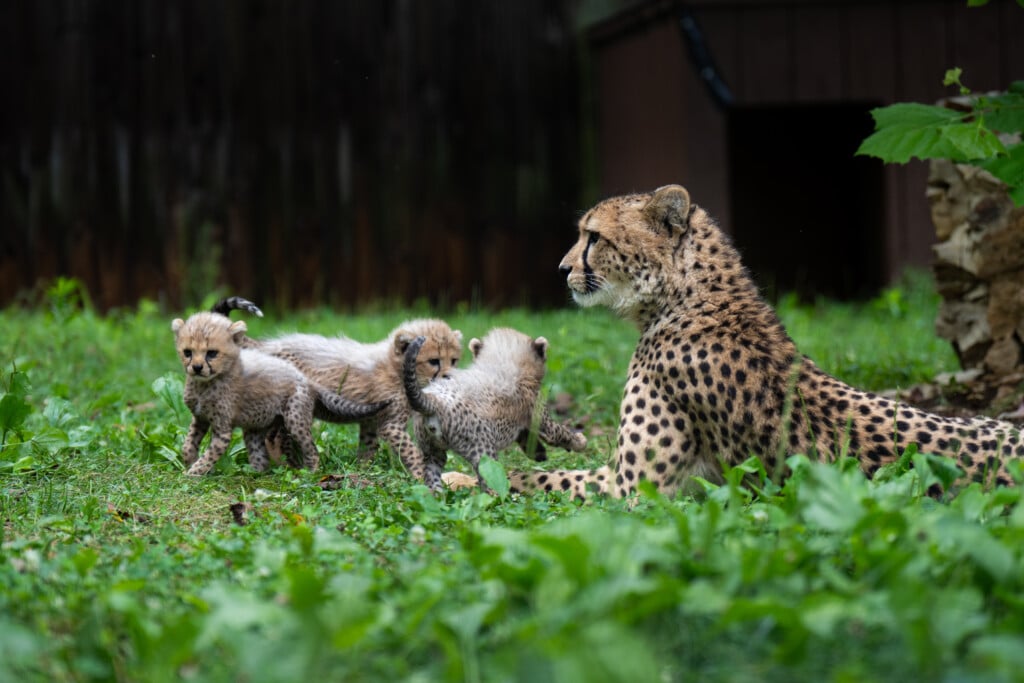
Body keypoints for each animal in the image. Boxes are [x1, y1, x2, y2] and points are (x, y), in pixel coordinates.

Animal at [172, 311, 388, 476]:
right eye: (188, 352)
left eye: (212, 353)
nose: (197, 368)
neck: (204, 385)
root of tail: (306, 378)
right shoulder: (200, 418)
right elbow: (188, 444)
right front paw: (190, 462)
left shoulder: (222, 430)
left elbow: (209, 455)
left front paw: (193, 472)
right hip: (256, 425)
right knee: (260, 457)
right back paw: (254, 474)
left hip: (294, 419)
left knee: (311, 450)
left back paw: (310, 474)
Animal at [211, 299, 466, 490]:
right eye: (434, 361)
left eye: (453, 360)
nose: (449, 376)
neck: (394, 367)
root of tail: (262, 346)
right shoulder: (392, 425)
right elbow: (411, 450)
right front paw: (420, 474)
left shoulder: (371, 421)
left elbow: (368, 447)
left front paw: (363, 470)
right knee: (276, 437)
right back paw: (290, 467)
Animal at [403, 328, 587, 488]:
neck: (501, 362)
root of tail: (433, 399)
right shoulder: (539, 416)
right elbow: (559, 433)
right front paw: (580, 442)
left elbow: (525, 435)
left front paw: (537, 452)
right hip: (482, 451)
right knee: (488, 480)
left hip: (432, 452)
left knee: (432, 481)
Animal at [446, 184, 1023, 498]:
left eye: (593, 236)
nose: (563, 269)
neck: (688, 300)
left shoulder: (635, 490)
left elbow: (524, 479)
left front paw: (455, 480)